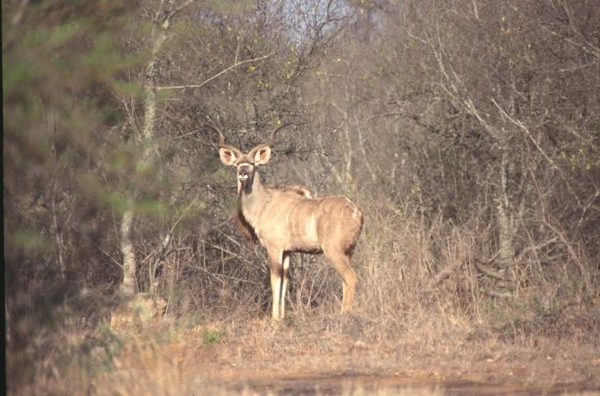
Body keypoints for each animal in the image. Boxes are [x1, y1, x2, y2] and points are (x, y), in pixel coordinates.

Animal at [213, 125, 364, 320]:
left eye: (252, 164)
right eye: (238, 164)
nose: (243, 174)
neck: (264, 203)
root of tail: (356, 212)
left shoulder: (274, 248)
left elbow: (275, 280)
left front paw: (274, 319)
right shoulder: (287, 252)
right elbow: (285, 281)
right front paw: (282, 317)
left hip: (334, 251)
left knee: (351, 277)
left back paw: (345, 315)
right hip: (348, 252)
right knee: (345, 280)